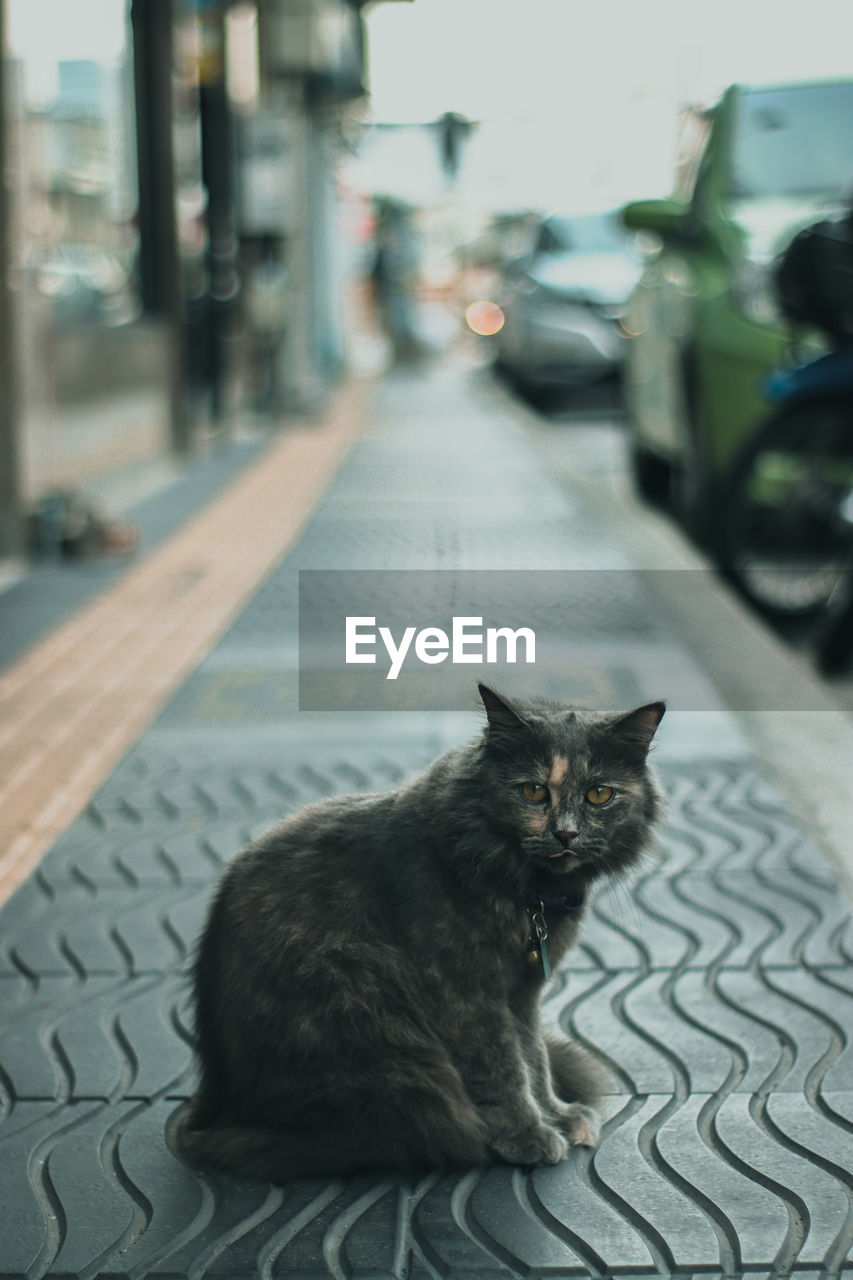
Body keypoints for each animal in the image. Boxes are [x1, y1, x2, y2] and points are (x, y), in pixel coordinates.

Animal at [175, 680, 660, 1177]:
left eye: (599, 795)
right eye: (533, 791)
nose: (565, 834)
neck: (532, 892)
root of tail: (210, 1112)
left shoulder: (521, 993)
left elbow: (534, 1060)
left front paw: (558, 1115)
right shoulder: (465, 994)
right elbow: (503, 1069)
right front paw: (529, 1134)